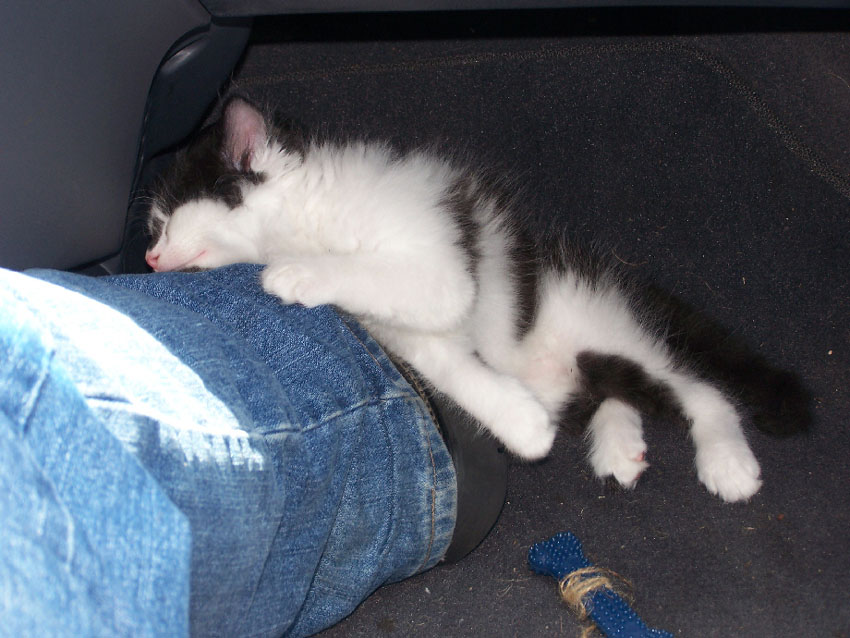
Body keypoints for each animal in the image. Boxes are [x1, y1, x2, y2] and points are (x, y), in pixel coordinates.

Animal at [143, 96, 809, 502]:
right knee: (609, 393)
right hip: (583, 362)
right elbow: (454, 370)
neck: (312, 212)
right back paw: (617, 445)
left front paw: (295, 276)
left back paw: (726, 463)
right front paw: (523, 427)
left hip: (606, 328)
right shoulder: (412, 332)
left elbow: (373, 272)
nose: (148, 258)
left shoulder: (437, 266)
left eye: (165, 221)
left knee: (700, 390)